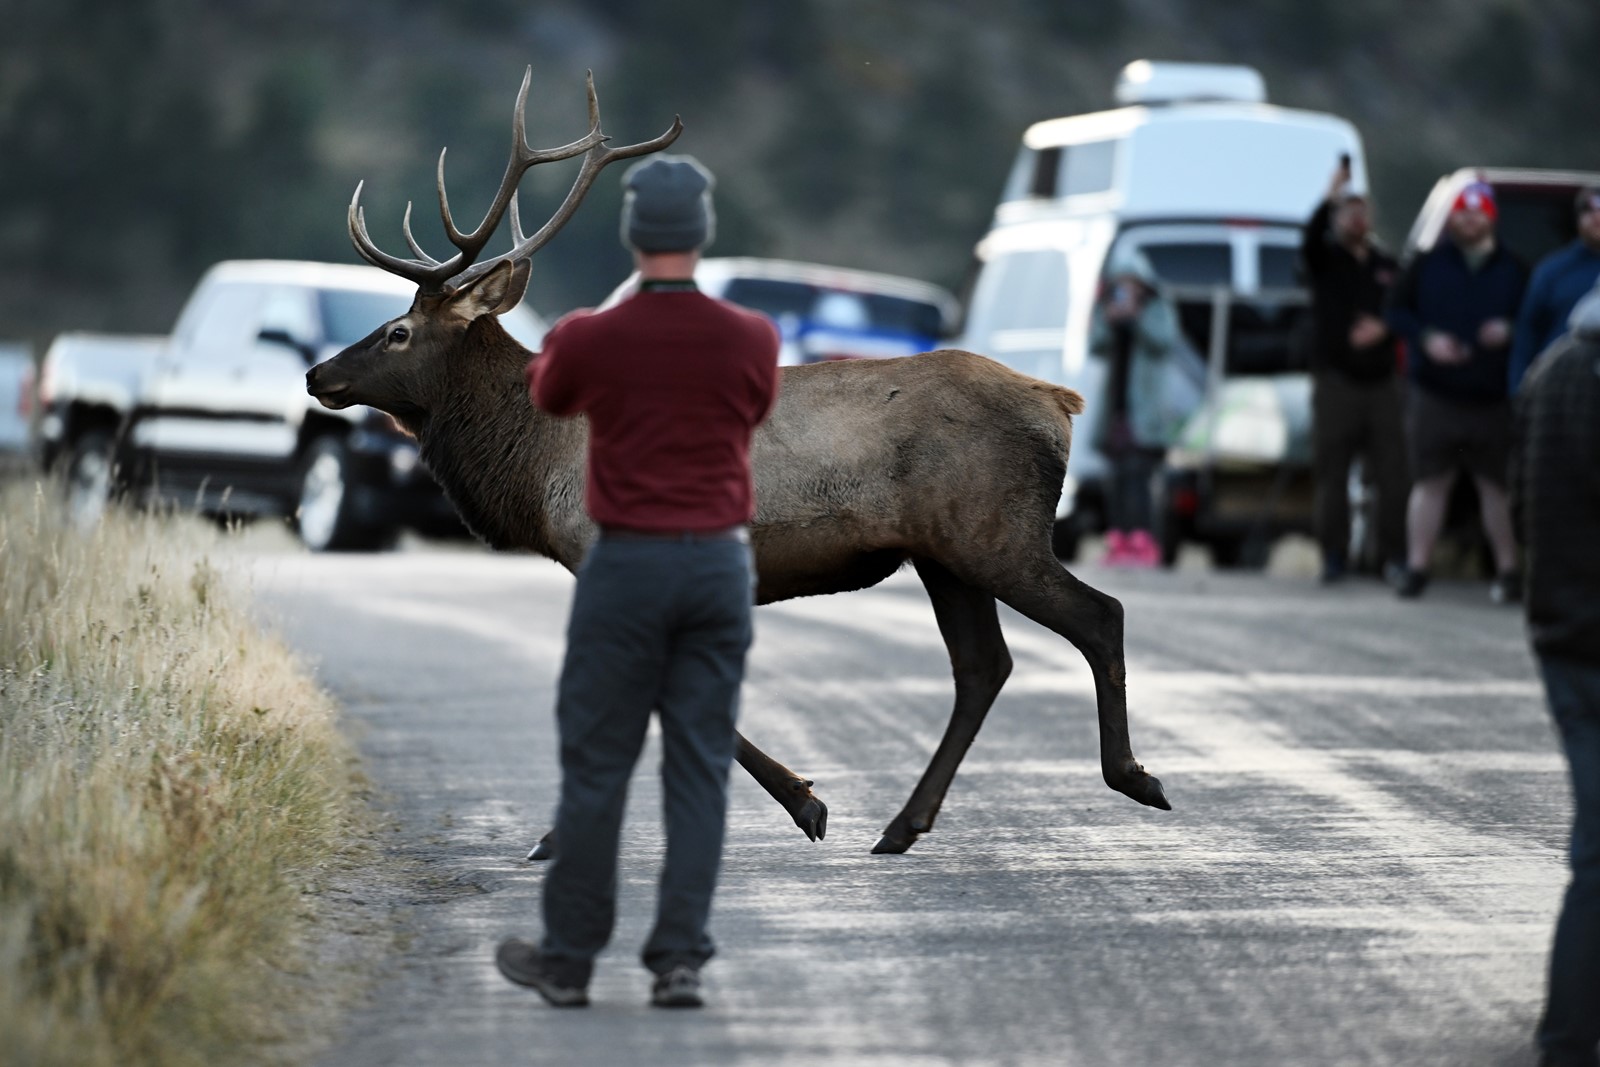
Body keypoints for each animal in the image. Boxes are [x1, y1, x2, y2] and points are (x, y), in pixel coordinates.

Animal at [306, 67, 1171, 858]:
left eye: (397, 333)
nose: (318, 374)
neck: (537, 460)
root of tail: (1061, 402)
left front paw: (794, 803)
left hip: (994, 531)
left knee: (1099, 614)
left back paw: (1135, 777)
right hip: (944, 551)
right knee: (984, 665)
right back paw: (903, 823)